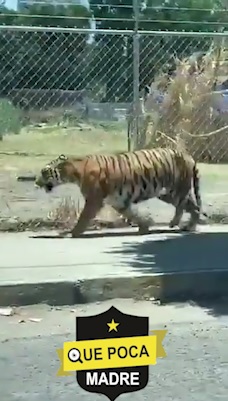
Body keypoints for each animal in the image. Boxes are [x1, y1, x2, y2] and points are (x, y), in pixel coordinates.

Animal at [34, 149, 207, 238]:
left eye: (44, 172)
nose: (36, 182)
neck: (74, 173)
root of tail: (187, 155)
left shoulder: (94, 200)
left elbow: (83, 217)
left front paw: (72, 232)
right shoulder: (118, 201)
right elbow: (132, 214)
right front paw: (145, 226)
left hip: (176, 190)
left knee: (189, 206)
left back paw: (183, 225)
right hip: (167, 193)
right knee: (191, 206)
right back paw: (185, 225)